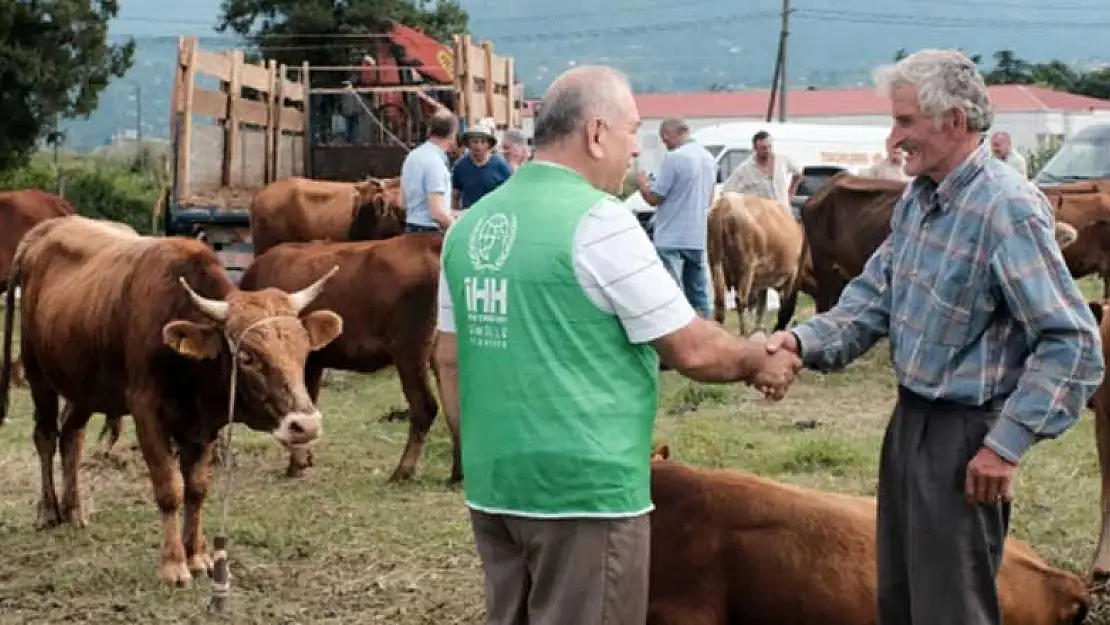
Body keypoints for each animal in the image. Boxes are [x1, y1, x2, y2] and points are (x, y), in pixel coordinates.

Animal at [0, 216, 341, 586]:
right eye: (247, 356)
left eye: (303, 350)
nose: (305, 425)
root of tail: (46, 230)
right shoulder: (146, 413)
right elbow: (169, 487)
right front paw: (173, 563)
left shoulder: (205, 425)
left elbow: (196, 488)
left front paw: (198, 555)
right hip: (38, 373)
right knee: (46, 437)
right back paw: (49, 511)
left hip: (84, 385)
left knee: (71, 437)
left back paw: (73, 510)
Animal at [238, 232, 450, 481]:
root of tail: (429, 241)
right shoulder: (314, 362)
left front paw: (296, 464)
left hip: (410, 351)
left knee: (425, 407)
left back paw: (402, 472)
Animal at [710, 192, 808, 335]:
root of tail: (725, 205)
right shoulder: (792, 275)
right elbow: (784, 308)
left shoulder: (763, 282)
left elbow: (761, 308)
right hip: (745, 267)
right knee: (740, 301)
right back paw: (744, 334)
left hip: (716, 263)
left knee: (720, 304)